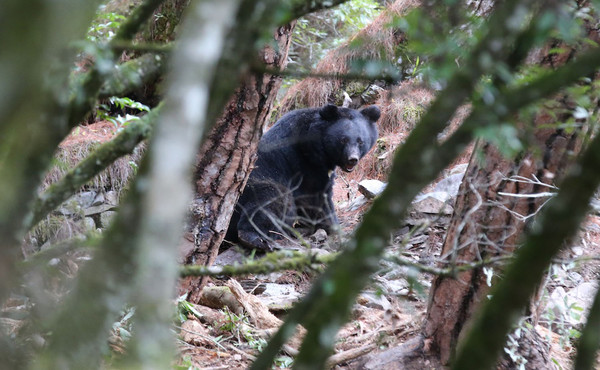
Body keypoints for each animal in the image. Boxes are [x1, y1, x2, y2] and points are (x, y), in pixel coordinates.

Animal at [226, 102, 380, 250]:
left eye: (360, 141)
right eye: (343, 140)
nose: (352, 159)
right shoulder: (304, 164)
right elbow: (315, 197)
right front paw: (334, 226)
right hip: (256, 187)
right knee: (273, 201)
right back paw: (255, 239)